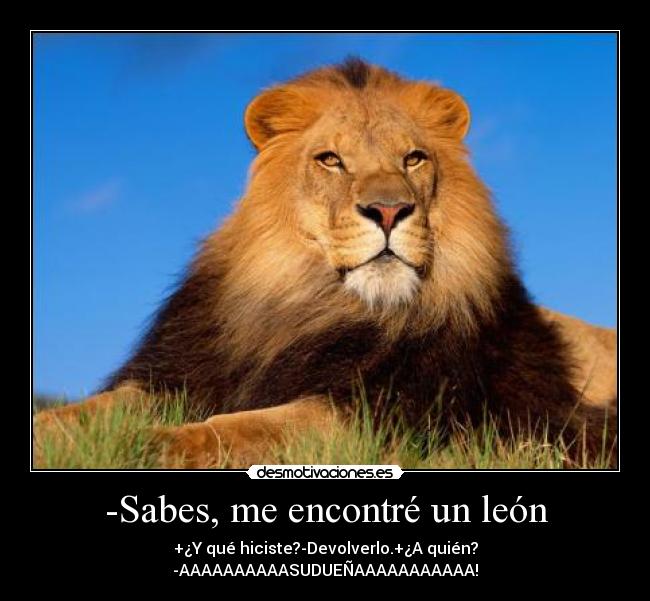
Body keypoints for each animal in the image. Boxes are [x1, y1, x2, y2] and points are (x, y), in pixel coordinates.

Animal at [35, 58, 617, 468]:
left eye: (414, 158)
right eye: (330, 160)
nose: (389, 210)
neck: (311, 304)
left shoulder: (382, 413)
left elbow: (240, 428)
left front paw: (148, 444)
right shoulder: (180, 375)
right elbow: (92, 409)